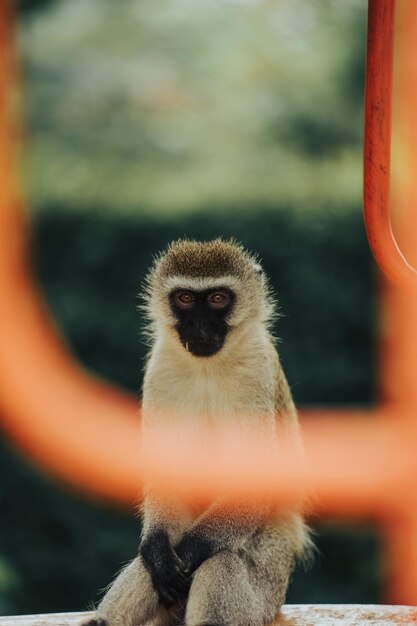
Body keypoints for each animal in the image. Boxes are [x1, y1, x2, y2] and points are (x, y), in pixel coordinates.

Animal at [84, 238, 310, 624]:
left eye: (218, 299)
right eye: (186, 299)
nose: (200, 326)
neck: (208, 368)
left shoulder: (257, 369)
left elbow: (253, 482)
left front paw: (188, 553)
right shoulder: (159, 370)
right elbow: (165, 485)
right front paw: (161, 557)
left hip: (270, 579)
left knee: (224, 560)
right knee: (148, 563)